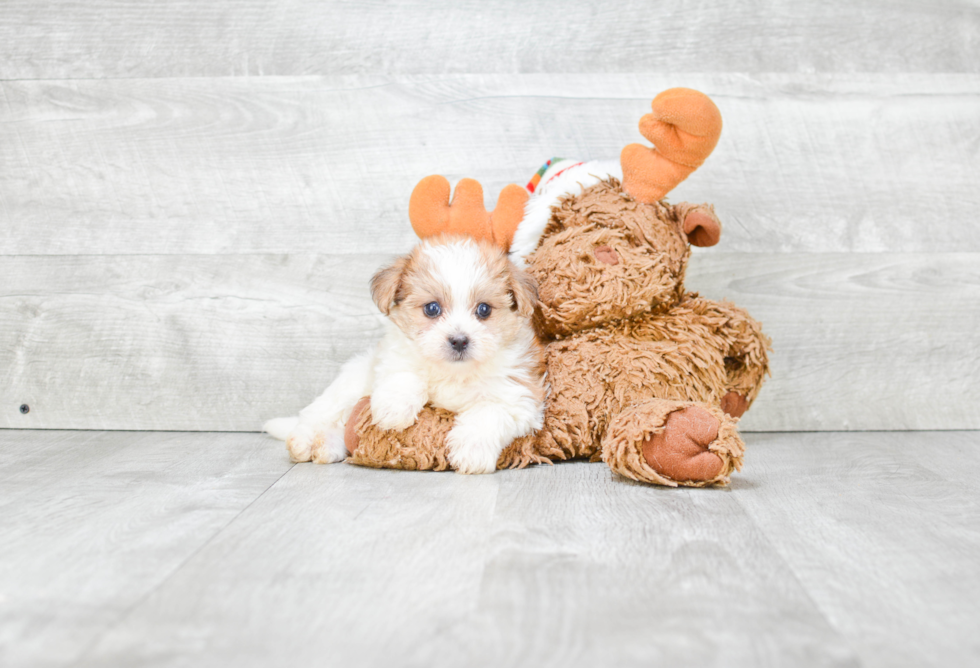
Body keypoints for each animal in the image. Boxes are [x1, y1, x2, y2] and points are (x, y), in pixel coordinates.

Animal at [264, 235, 548, 474]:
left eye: (484, 310)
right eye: (432, 309)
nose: (458, 340)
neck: (453, 372)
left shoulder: (519, 395)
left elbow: (488, 414)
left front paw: (471, 452)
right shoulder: (394, 356)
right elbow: (405, 373)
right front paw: (394, 408)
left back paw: (326, 446)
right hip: (350, 384)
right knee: (319, 414)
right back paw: (304, 441)